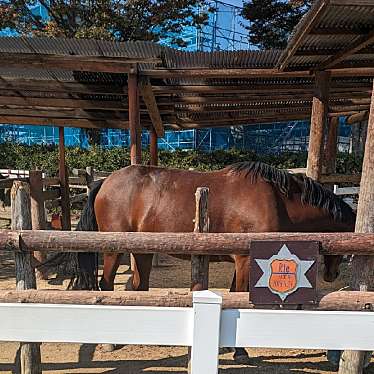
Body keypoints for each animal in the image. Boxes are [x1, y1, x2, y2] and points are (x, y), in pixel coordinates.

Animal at [65, 163, 356, 360]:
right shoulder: (245, 260)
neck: (277, 200)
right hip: (113, 250)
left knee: (139, 287)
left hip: (143, 251)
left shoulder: (241, 260)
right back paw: (109, 341)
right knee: (107, 286)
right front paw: (239, 350)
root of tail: (105, 182)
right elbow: (240, 296)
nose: (332, 274)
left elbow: (233, 294)